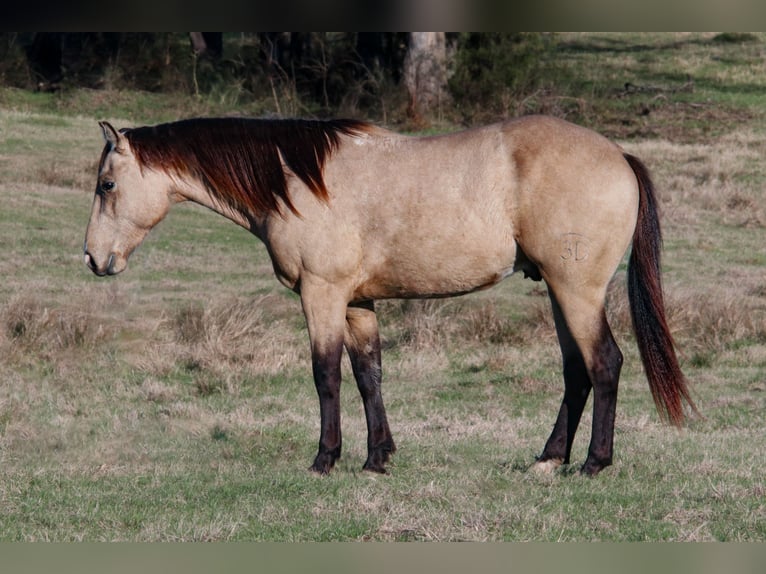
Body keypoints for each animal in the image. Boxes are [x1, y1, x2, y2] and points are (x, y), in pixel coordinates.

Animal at [81, 116, 700, 476]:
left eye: (107, 185)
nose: (92, 258)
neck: (298, 180)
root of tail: (619, 156)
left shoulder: (322, 294)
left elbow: (326, 374)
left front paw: (325, 459)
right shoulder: (357, 302)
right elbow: (368, 374)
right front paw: (378, 458)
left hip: (577, 291)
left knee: (605, 363)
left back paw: (594, 463)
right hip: (557, 291)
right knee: (577, 372)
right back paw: (549, 459)